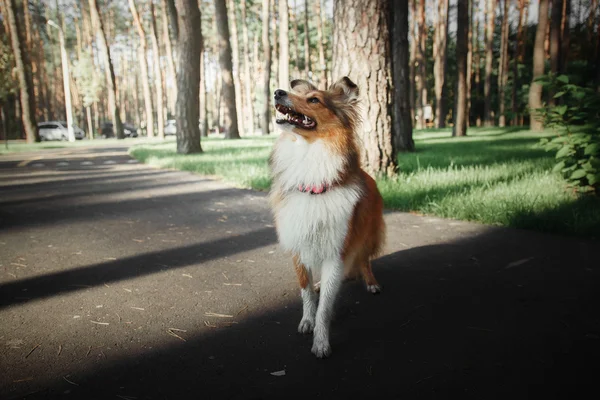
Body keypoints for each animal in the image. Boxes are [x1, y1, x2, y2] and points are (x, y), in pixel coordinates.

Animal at [268, 76, 384, 358]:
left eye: (313, 100)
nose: (277, 92)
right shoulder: (299, 246)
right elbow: (307, 293)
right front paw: (307, 321)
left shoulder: (336, 251)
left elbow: (325, 306)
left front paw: (321, 342)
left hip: (367, 234)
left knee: (365, 260)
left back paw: (371, 282)